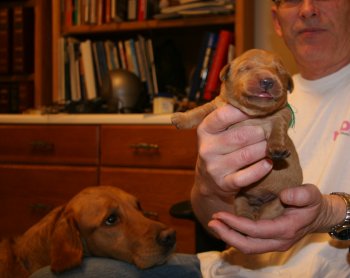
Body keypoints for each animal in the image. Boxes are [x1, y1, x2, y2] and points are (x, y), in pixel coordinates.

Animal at [172, 48, 304, 220]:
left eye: (279, 71)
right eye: (246, 68)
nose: (267, 81)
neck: (252, 114)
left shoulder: (281, 116)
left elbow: (278, 130)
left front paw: (277, 149)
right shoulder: (217, 104)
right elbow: (201, 109)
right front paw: (182, 118)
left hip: (278, 202)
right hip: (240, 197)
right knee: (243, 208)